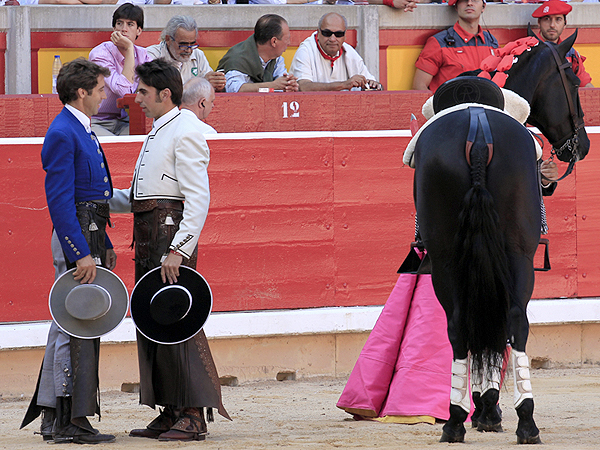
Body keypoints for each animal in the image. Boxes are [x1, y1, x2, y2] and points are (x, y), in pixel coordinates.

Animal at [412, 30, 592, 442]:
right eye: (574, 81)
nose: (583, 145)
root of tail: (478, 134)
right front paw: (487, 408)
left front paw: (485, 408)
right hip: (509, 254)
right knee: (504, 321)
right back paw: (515, 418)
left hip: (457, 259)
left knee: (474, 322)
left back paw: (466, 419)